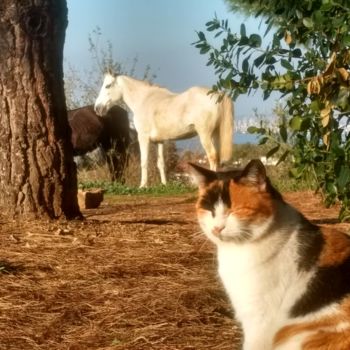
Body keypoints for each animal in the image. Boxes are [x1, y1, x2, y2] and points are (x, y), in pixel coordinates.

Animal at [94, 72, 234, 189]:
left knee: (212, 156)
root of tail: (218, 95)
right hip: (215, 135)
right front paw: (164, 184)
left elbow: (144, 161)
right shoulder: (159, 141)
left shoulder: (143, 137)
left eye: (107, 86)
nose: (97, 108)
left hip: (205, 135)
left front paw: (143, 186)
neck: (144, 100)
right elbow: (160, 163)